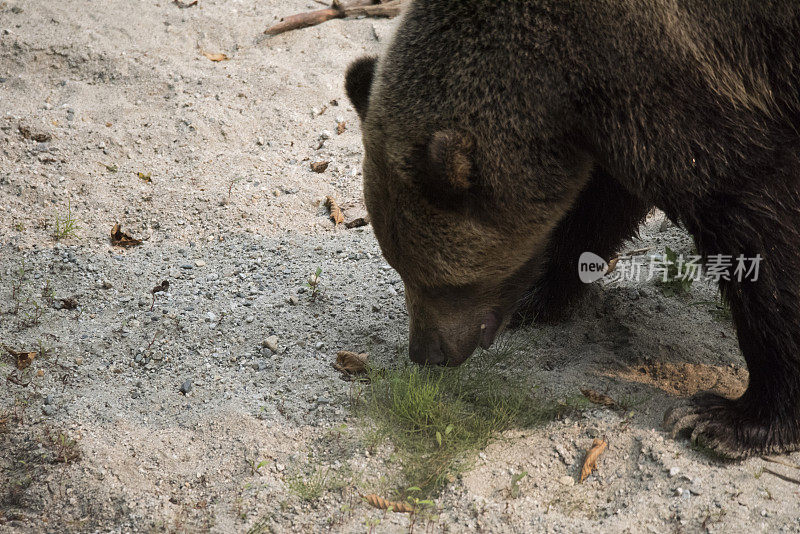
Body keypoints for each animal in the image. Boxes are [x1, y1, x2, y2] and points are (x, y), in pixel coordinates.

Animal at [344, 1, 800, 460]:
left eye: (444, 283)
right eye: (399, 267)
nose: (426, 353)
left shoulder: (693, 83)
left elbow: (757, 224)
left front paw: (730, 419)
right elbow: (596, 207)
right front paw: (540, 293)